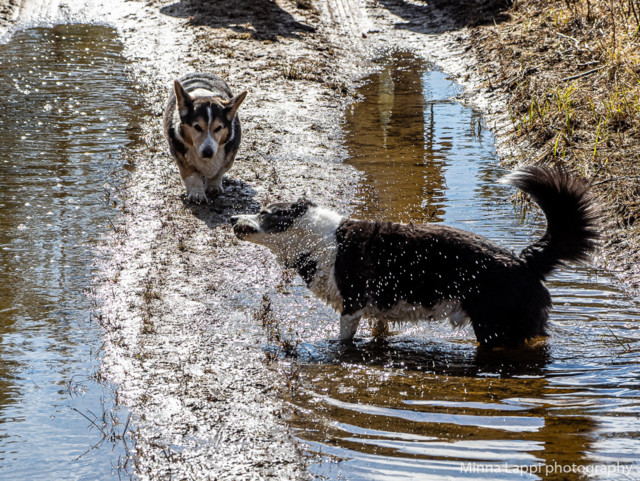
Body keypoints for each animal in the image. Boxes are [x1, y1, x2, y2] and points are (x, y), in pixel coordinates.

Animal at [162, 71, 248, 202]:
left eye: (218, 128)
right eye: (197, 127)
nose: (208, 152)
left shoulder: (229, 156)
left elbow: (218, 172)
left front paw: (213, 186)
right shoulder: (180, 155)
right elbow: (192, 175)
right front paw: (197, 194)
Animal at [231, 167, 600, 346]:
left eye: (264, 213)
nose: (233, 218)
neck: (318, 238)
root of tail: (523, 262)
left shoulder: (352, 307)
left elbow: (344, 340)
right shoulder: (376, 311)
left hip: (495, 329)